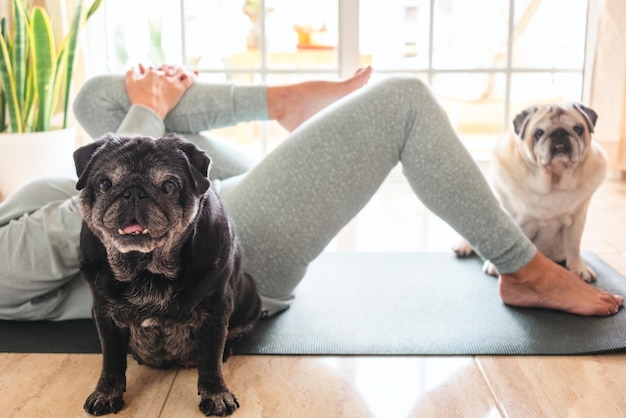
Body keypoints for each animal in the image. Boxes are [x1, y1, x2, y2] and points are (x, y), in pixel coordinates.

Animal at [73, 134, 260, 418]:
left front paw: (216, 394)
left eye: (169, 187)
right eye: (105, 183)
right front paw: (106, 393)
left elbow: (210, 358)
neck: (146, 269)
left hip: (250, 292)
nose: (134, 192)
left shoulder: (217, 309)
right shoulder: (105, 314)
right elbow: (111, 360)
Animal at [454, 103, 604, 282]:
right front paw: (494, 266)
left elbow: (574, 247)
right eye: (538, 133)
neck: (553, 180)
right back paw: (462, 246)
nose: (559, 132)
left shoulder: (577, 221)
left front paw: (578, 268)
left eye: (578, 129)